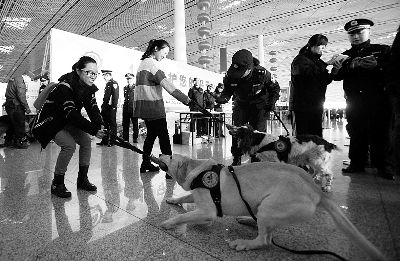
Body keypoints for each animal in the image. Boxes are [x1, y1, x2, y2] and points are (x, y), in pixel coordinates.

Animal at [157, 153, 388, 258]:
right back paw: (247, 219)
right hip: (263, 208)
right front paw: (173, 200)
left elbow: (184, 216)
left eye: (170, 155)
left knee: (265, 239)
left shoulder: (208, 211)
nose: (159, 153)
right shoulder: (197, 198)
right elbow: (184, 198)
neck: (198, 171)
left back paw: (244, 243)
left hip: (269, 208)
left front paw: (168, 223)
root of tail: (317, 191)